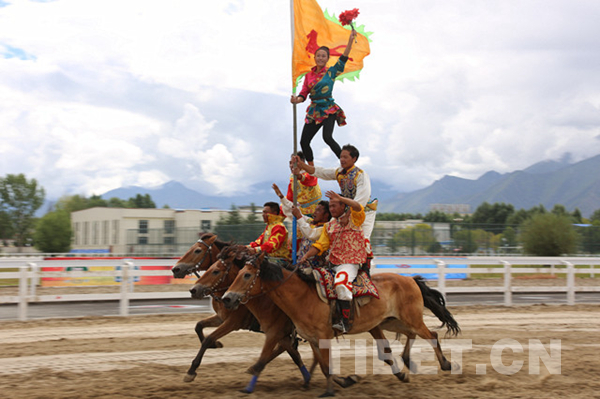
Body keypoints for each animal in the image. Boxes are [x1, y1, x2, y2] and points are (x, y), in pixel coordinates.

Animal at [223, 255, 462, 398]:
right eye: (237, 274)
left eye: (246, 275)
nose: (227, 298)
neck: (302, 296)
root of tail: (410, 280)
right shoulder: (312, 339)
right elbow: (323, 366)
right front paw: (343, 382)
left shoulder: (322, 337)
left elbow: (325, 366)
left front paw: (330, 390)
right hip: (392, 321)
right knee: (412, 335)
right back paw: (406, 363)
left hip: (410, 319)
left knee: (431, 335)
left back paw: (446, 364)